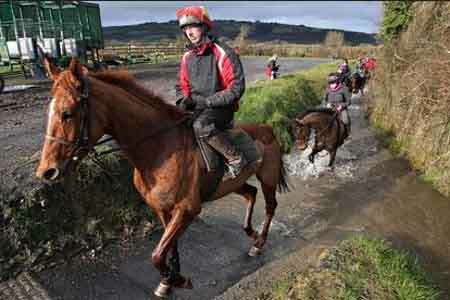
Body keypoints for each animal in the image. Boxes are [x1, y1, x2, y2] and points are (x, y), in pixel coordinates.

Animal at [35, 56, 288, 298]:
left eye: (67, 113)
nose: (46, 171)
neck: (159, 149)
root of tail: (267, 129)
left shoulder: (186, 210)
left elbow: (157, 254)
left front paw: (178, 280)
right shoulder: (162, 209)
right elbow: (169, 248)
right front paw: (169, 280)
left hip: (267, 179)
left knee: (270, 206)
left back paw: (259, 242)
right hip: (233, 184)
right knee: (250, 194)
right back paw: (251, 233)